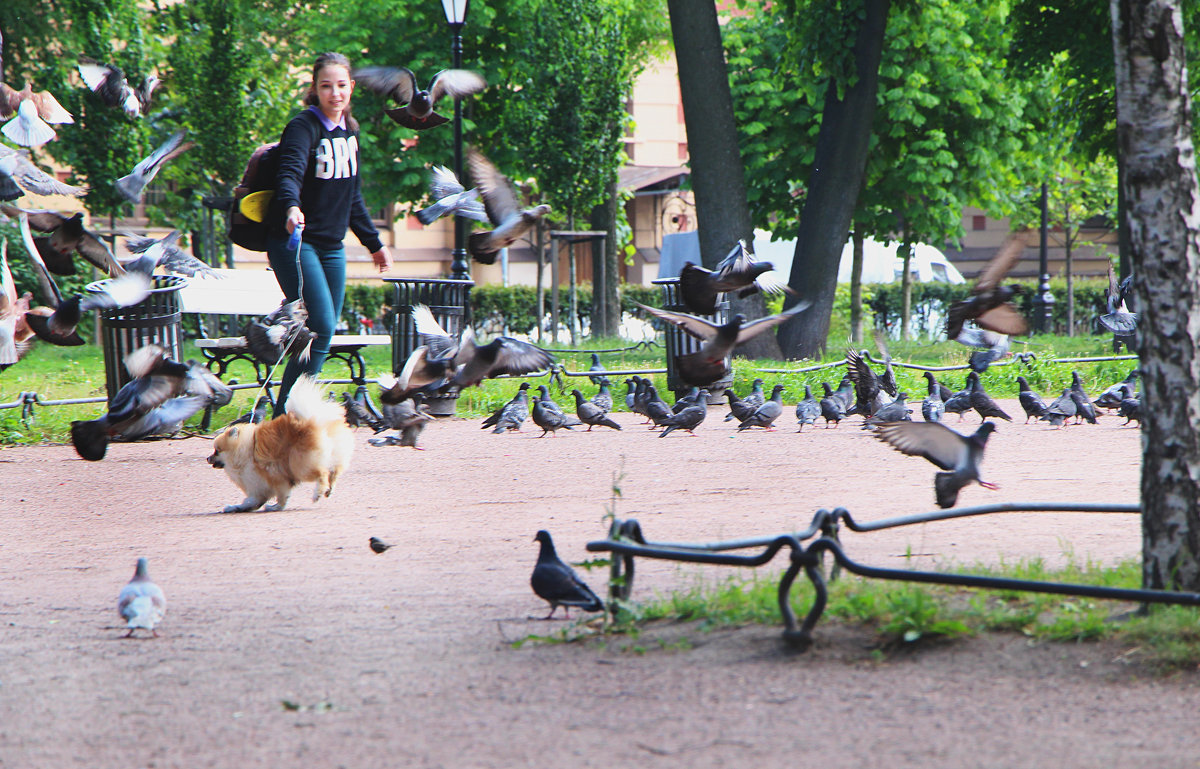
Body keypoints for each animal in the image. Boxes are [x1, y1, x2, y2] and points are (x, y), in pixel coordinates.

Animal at [207, 374, 352, 513]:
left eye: (217, 451)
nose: (208, 458)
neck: (243, 451)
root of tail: (311, 422)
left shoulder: (276, 479)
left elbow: (282, 497)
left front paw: (275, 507)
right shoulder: (257, 488)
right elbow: (251, 502)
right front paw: (235, 507)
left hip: (301, 465)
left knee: (322, 473)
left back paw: (318, 493)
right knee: (334, 472)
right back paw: (329, 490)